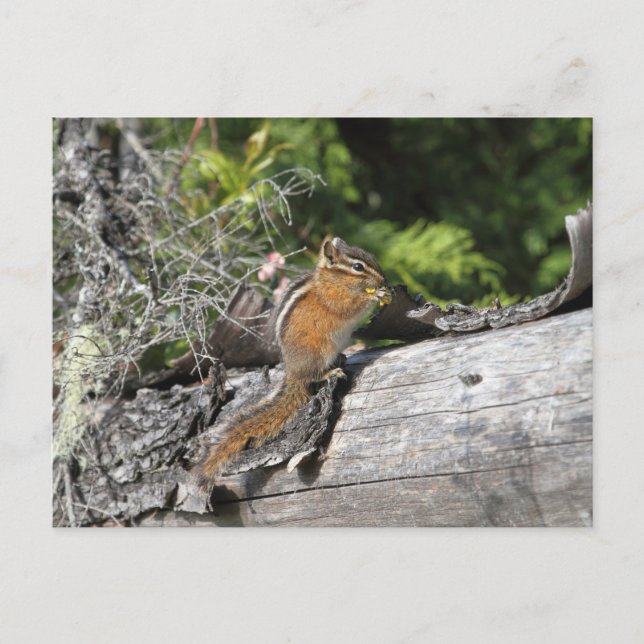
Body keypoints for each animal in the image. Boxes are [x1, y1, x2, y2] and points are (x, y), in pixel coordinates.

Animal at [194, 236, 391, 489]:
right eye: (358, 267)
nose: (383, 280)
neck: (332, 279)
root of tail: (294, 372)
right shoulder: (336, 298)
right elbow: (349, 306)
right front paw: (375, 295)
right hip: (319, 351)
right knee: (313, 376)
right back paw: (329, 373)